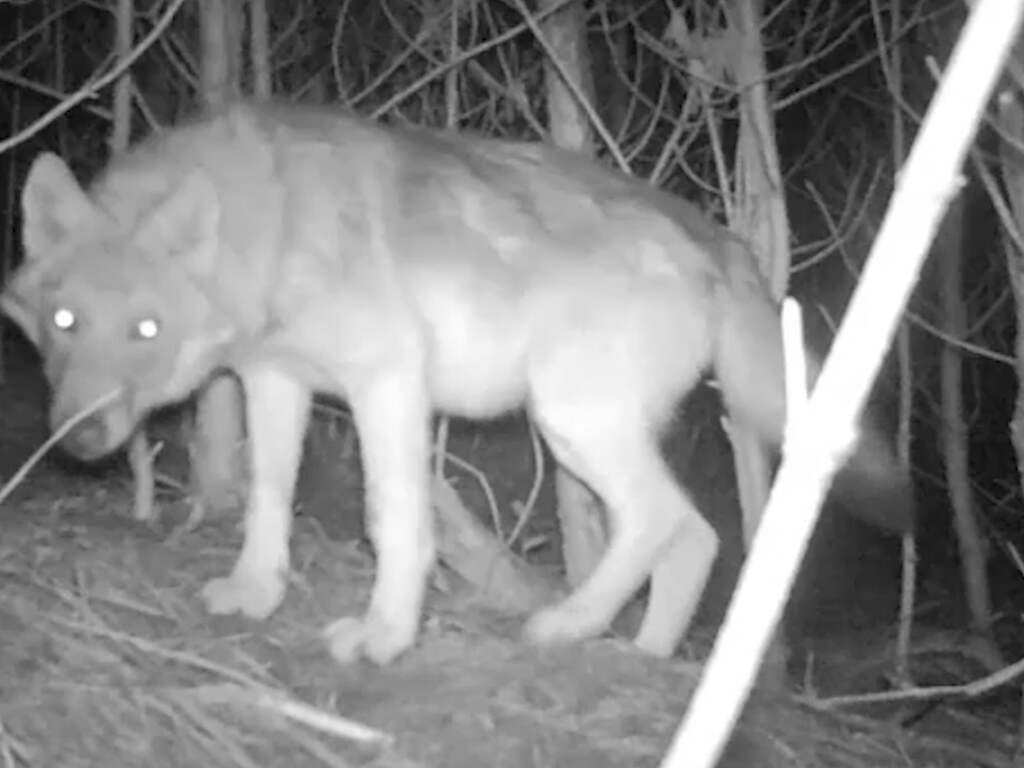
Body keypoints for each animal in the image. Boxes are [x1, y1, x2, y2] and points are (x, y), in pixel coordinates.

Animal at [1, 101, 912, 665]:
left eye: (146, 332)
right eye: (66, 322)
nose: (80, 439)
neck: (273, 223)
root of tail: (717, 236)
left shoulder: (387, 384)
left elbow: (393, 523)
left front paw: (384, 638)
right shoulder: (275, 379)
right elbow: (266, 496)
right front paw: (257, 593)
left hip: (572, 422)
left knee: (674, 525)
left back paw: (568, 626)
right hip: (577, 435)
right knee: (696, 539)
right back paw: (645, 660)